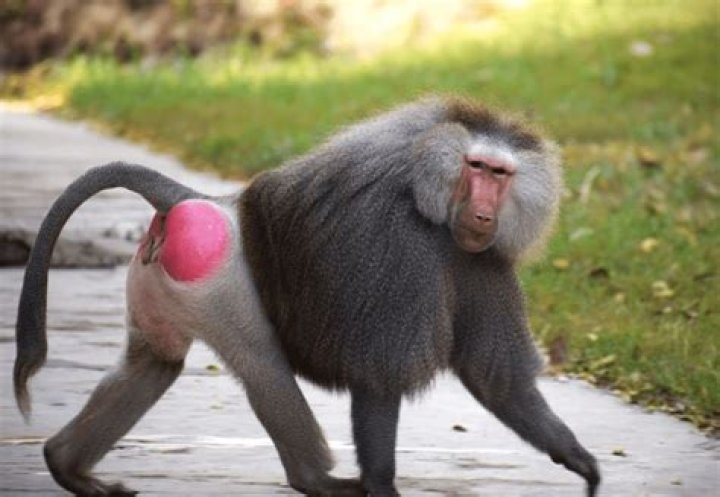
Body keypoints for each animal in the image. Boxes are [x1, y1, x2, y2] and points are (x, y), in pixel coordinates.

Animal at [14, 96, 600, 497]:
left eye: (501, 175)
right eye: (476, 169)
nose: (483, 213)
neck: (435, 210)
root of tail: (200, 200)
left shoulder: (485, 262)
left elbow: (497, 381)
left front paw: (578, 460)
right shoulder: (396, 244)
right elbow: (378, 377)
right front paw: (381, 485)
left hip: (158, 281)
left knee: (153, 364)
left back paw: (67, 466)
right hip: (216, 283)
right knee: (263, 367)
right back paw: (315, 480)